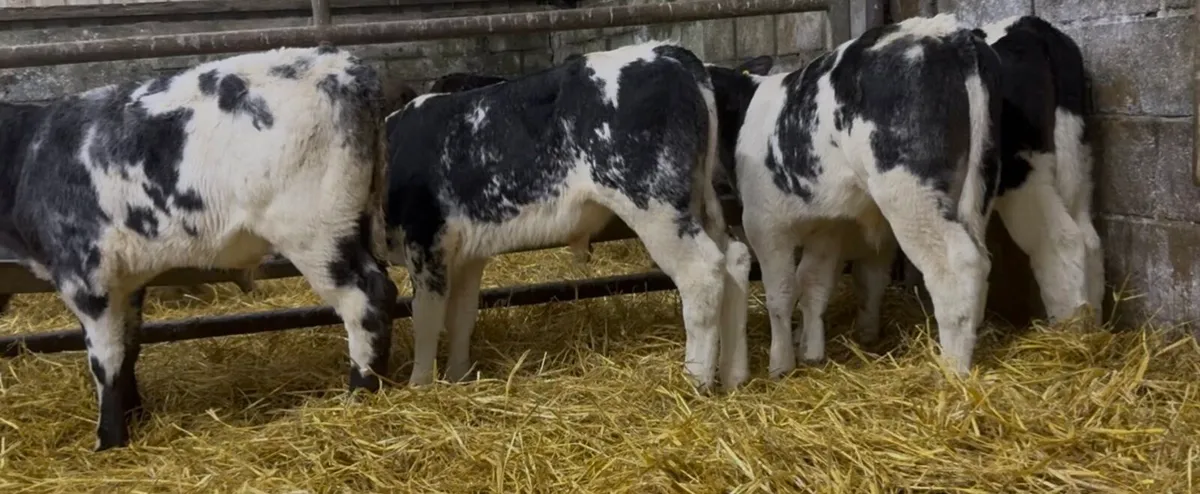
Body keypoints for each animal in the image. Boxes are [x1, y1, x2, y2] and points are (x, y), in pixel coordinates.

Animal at [0, 44, 397, 451]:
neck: (27, 157)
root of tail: (348, 68)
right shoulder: (126, 281)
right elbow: (128, 348)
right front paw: (135, 415)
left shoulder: (86, 279)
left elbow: (105, 360)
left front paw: (109, 440)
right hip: (356, 220)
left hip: (314, 231)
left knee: (365, 297)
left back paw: (361, 391)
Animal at [385, 41, 753, 391]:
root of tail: (666, 52)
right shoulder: (466, 254)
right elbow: (460, 317)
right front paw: (457, 376)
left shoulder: (424, 240)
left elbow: (426, 317)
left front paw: (419, 384)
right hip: (698, 200)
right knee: (734, 259)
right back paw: (734, 375)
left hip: (656, 206)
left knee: (702, 272)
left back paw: (696, 380)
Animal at [706, 14, 1004, 378]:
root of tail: (947, 32)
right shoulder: (826, 224)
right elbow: (813, 283)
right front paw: (811, 351)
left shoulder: (765, 223)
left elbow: (780, 292)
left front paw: (781, 363)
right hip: (981, 181)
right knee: (982, 259)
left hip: (910, 193)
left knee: (957, 263)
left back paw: (952, 367)